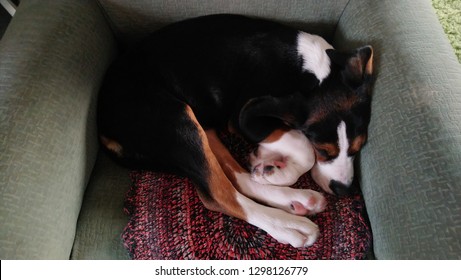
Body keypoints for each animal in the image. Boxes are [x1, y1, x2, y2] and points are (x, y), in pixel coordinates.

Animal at [98, 14, 374, 247]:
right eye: (323, 150)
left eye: (358, 147)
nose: (344, 190)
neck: (310, 70)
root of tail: (103, 127)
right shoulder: (244, 117)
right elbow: (302, 145)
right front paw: (280, 169)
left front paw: (268, 163)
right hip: (176, 118)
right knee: (222, 195)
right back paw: (289, 226)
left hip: (202, 126)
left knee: (238, 178)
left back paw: (291, 195)